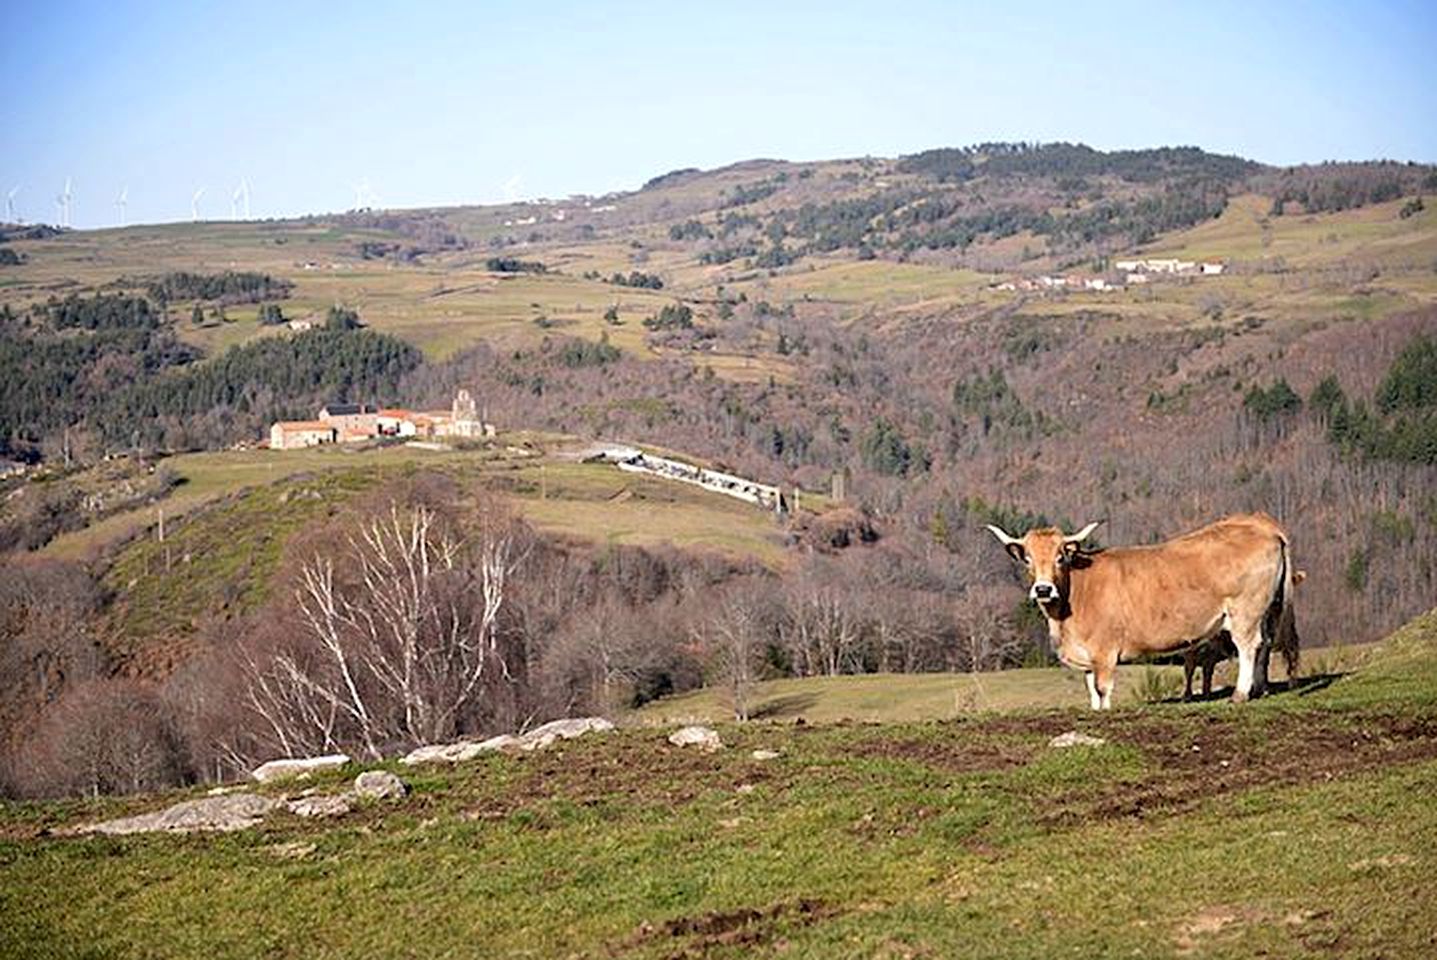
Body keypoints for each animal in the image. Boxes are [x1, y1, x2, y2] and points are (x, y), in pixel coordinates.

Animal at [988, 514, 1304, 709]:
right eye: (1027, 559)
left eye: (1060, 557)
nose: (1043, 589)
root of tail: (1260, 524)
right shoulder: (1089, 656)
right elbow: (1091, 692)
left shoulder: (1104, 651)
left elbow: (1102, 690)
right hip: (1266, 610)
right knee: (1265, 644)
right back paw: (1260, 688)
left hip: (1244, 612)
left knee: (1249, 646)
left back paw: (1240, 694)